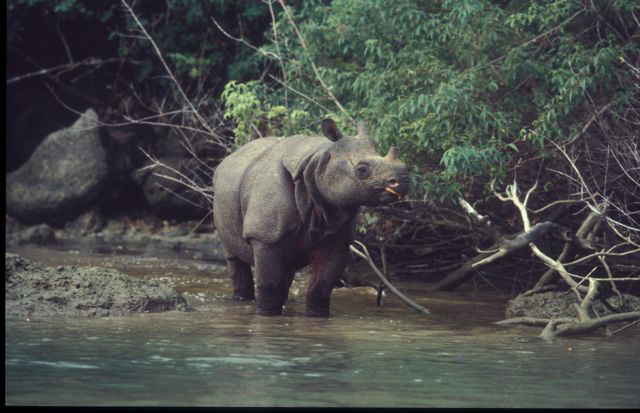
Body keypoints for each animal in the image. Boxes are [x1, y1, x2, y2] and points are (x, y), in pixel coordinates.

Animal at [212, 119, 409, 316]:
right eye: (362, 170)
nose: (401, 182)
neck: (318, 162)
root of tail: (228, 158)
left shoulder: (337, 238)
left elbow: (322, 286)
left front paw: (318, 315)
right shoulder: (265, 236)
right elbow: (269, 284)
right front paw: (266, 314)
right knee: (234, 256)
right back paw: (242, 299)